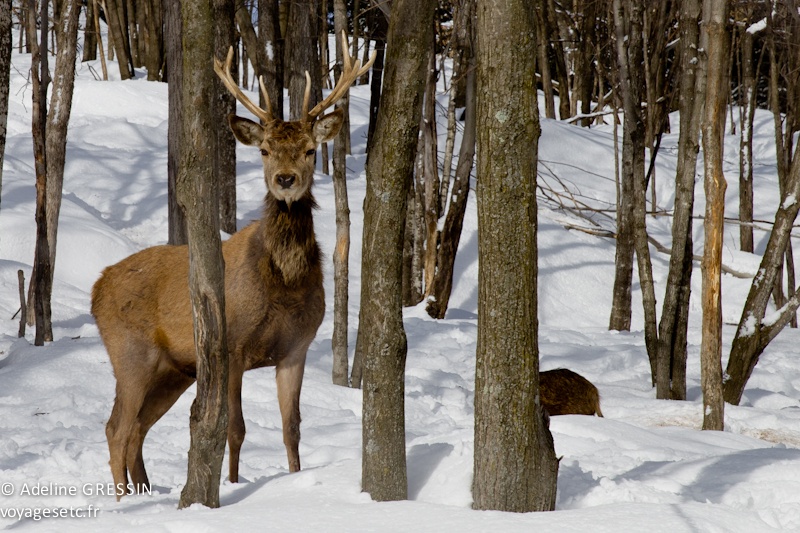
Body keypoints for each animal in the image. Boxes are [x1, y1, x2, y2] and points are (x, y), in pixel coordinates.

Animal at [91, 33, 375, 500]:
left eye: (310, 150)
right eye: (264, 150)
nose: (284, 179)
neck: (283, 285)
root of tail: (97, 288)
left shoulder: (296, 348)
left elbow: (292, 429)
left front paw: (295, 479)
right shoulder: (232, 347)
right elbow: (235, 430)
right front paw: (233, 486)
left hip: (175, 370)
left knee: (137, 430)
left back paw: (145, 492)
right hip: (130, 351)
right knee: (116, 428)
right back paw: (122, 501)